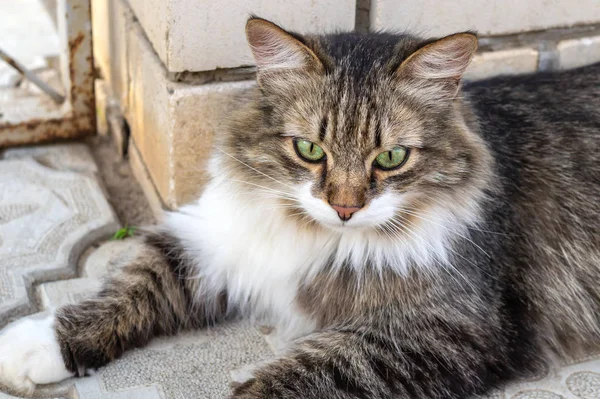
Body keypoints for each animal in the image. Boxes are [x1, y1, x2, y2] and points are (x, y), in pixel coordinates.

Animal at [1, 16, 600, 399]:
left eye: (391, 157)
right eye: (310, 150)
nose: (345, 208)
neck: (318, 237)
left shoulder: (448, 327)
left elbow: (303, 373)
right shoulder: (215, 239)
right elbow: (129, 288)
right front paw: (32, 347)